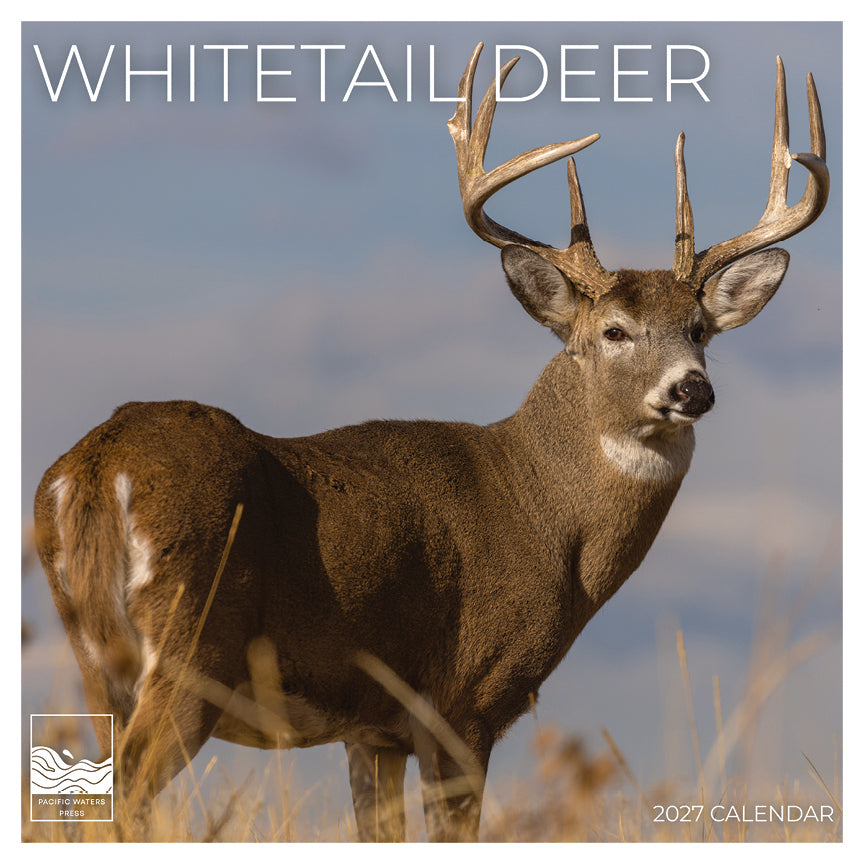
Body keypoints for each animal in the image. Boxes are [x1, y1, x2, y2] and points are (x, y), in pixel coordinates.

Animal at [33, 42, 828, 841]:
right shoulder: (466, 699)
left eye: (699, 330)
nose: (692, 390)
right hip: (193, 644)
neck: (542, 513)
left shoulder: (373, 728)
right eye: (614, 331)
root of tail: (95, 466)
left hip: (94, 660)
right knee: (125, 795)